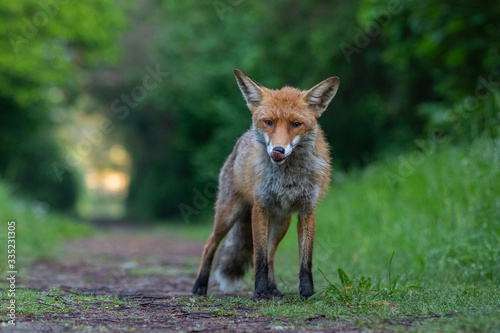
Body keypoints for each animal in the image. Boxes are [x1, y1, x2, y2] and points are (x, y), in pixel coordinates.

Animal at [192, 69, 340, 298]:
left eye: (296, 124)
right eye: (268, 122)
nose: (278, 150)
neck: (287, 177)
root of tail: (240, 140)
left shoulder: (307, 210)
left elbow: (305, 261)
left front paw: (307, 292)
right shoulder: (260, 207)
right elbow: (258, 257)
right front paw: (260, 292)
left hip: (281, 222)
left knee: (271, 254)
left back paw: (274, 288)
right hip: (229, 213)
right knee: (210, 245)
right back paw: (199, 286)